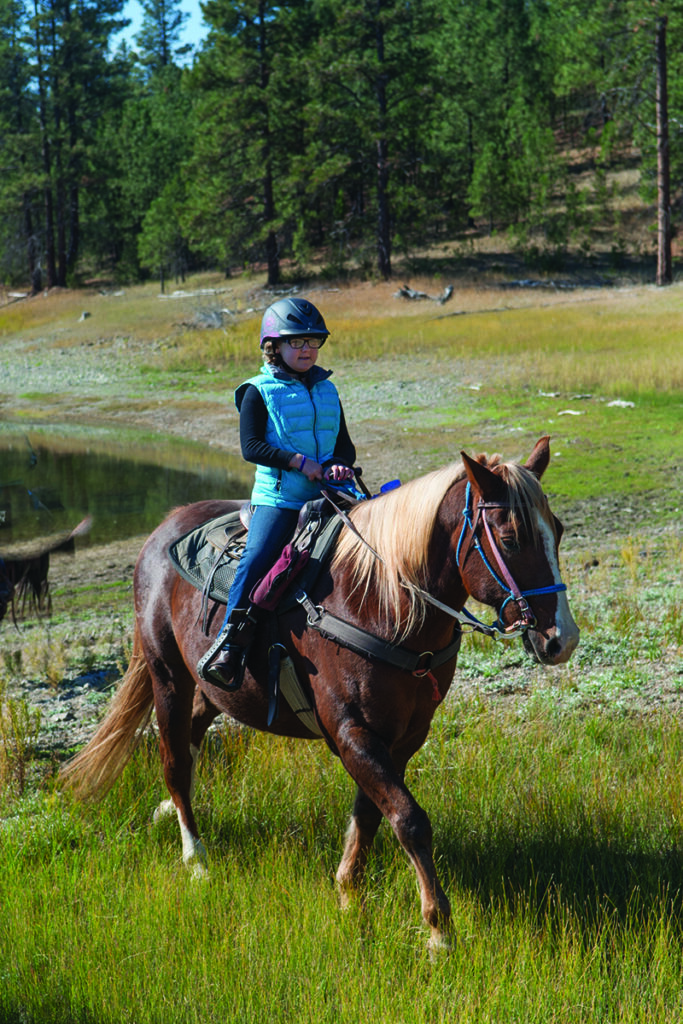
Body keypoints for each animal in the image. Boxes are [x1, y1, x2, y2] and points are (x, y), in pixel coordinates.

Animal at [62, 436, 577, 946]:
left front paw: (349, 892)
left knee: (189, 738)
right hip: (167, 674)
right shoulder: (351, 730)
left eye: (558, 530)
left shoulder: (404, 736)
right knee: (175, 760)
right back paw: (196, 858)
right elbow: (409, 819)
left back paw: (169, 813)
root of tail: (163, 529)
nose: (562, 639)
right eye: (509, 539)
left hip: (211, 687)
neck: (381, 601)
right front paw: (438, 930)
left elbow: (371, 813)